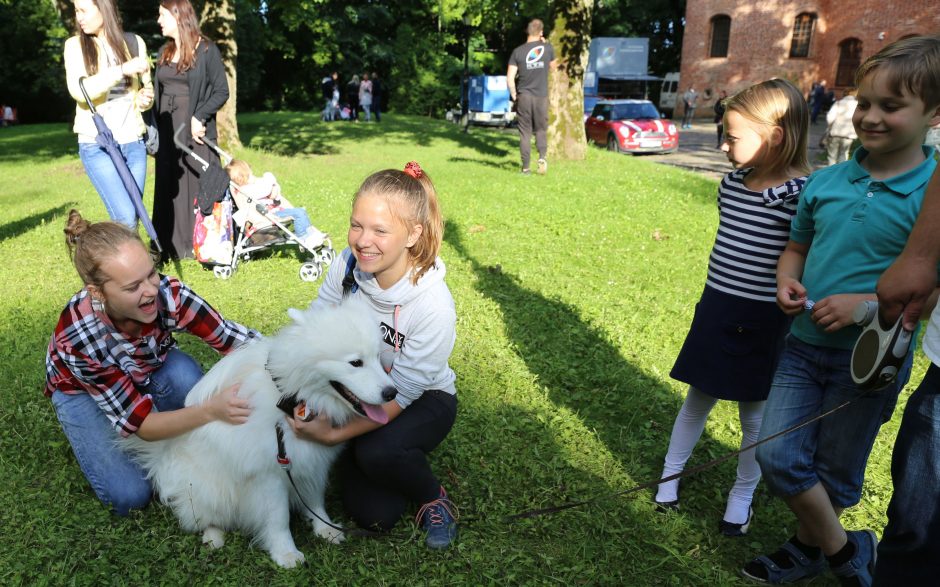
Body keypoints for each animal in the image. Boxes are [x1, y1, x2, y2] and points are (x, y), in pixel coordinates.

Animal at [123, 300, 394, 568]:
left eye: (378, 357)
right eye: (355, 363)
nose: (392, 393)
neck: (290, 398)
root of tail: (162, 458)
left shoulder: (312, 462)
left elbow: (315, 500)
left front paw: (325, 529)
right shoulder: (270, 474)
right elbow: (278, 518)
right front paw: (285, 553)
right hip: (209, 490)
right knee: (203, 517)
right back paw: (214, 537)